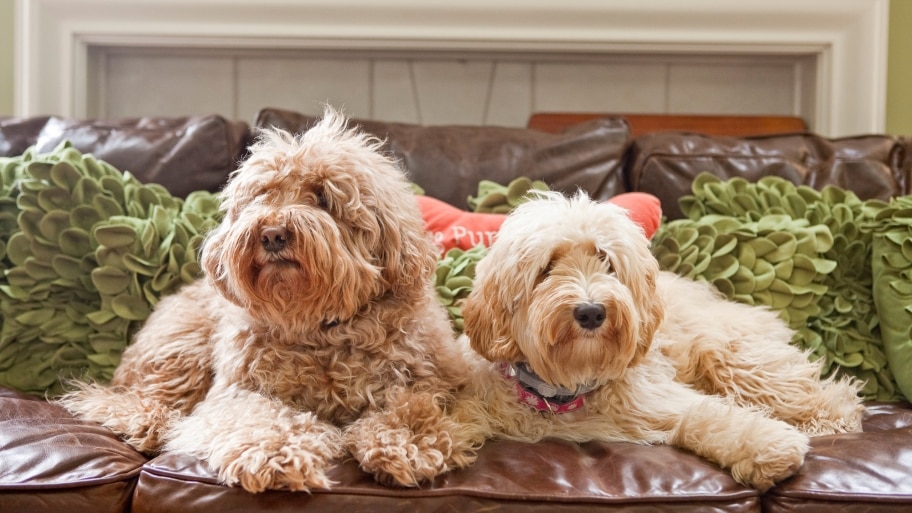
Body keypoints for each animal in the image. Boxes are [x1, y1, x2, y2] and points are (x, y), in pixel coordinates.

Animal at [62, 107, 478, 492]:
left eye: (323, 197)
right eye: (262, 196)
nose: (273, 234)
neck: (318, 328)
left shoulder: (424, 383)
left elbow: (409, 410)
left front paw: (408, 446)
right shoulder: (239, 392)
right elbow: (263, 419)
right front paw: (277, 455)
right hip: (182, 348)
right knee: (124, 400)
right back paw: (150, 423)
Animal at [452, 192, 864, 492]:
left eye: (606, 260)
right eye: (547, 268)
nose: (591, 312)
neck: (567, 390)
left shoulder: (656, 397)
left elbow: (709, 414)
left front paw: (769, 447)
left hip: (729, 354)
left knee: (817, 392)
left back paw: (832, 419)